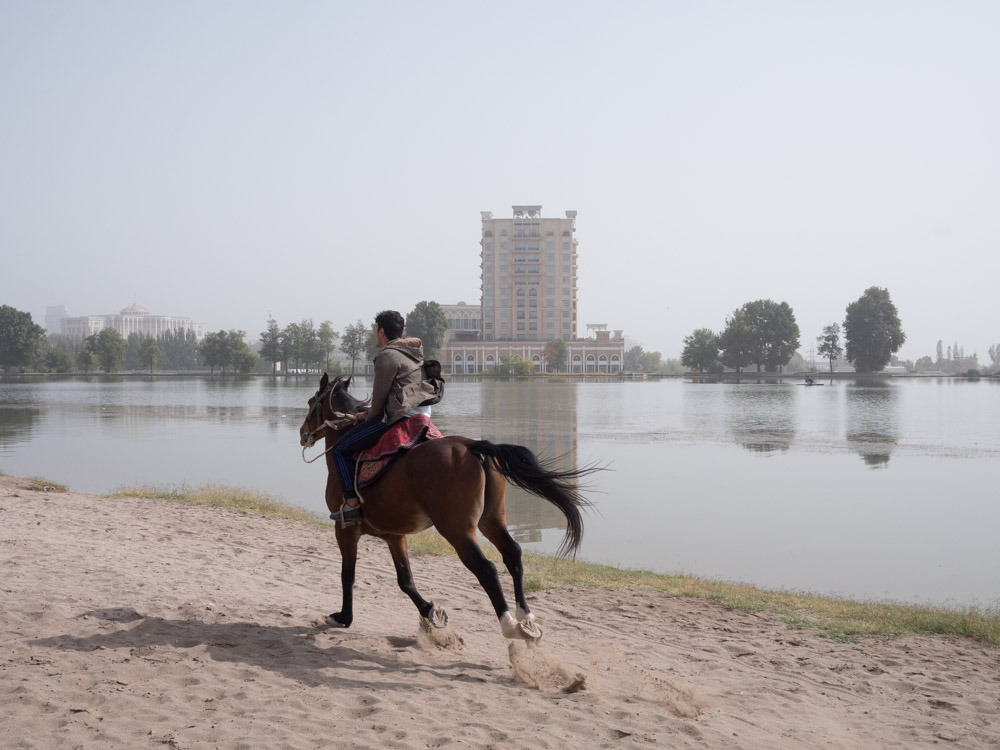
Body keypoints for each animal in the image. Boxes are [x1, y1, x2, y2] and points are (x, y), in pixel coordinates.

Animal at [296, 374, 592, 644]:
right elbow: (405, 580)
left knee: (486, 568)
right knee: (513, 554)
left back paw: (509, 625)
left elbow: (348, 574)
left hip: (457, 530)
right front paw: (429, 610)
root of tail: (472, 446)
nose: (302, 433)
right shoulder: (395, 535)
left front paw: (343, 617)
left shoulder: (345, 528)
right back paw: (526, 618)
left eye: (311, 401)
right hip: (491, 520)